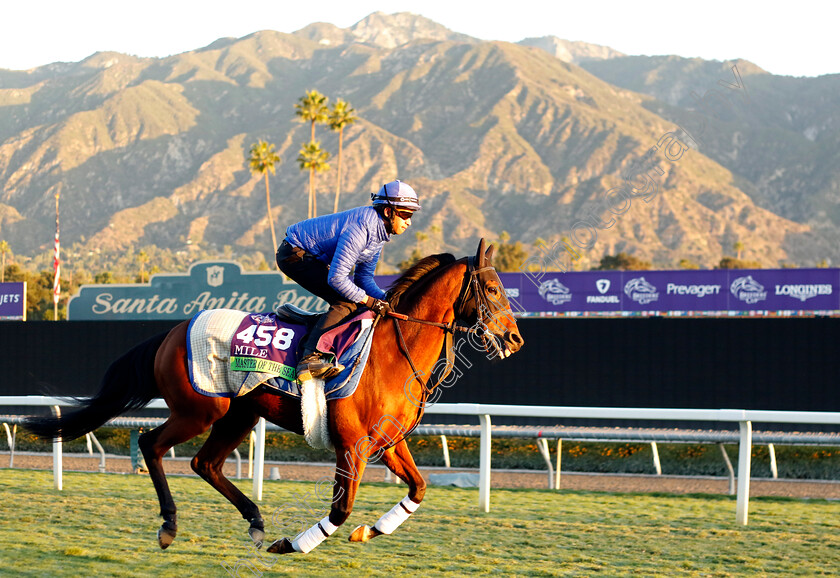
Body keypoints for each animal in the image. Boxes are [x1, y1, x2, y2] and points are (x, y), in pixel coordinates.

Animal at [24, 238, 520, 552]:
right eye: (493, 288)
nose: (514, 338)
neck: (391, 354)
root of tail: (172, 331)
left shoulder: (389, 442)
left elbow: (418, 487)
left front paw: (367, 532)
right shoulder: (352, 445)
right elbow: (340, 509)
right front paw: (293, 545)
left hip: (238, 415)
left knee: (205, 463)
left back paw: (256, 522)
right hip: (199, 410)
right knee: (152, 445)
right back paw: (170, 525)